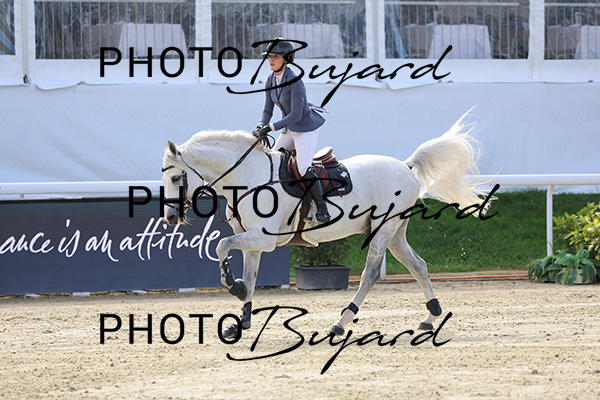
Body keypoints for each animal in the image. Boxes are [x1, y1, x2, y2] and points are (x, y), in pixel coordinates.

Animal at [161, 111, 490, 338]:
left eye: (176, 177)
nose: (170, 218)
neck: (249, 177)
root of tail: (405, 166)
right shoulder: (251, 240)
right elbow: (250, 277)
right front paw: (241, 318)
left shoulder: (264, 238)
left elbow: (220, 245)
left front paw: (232, 285)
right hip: (395, 232)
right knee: (418, 265)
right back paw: (430, 317)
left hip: (383, 229)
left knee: (370, 274)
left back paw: (340, 323)